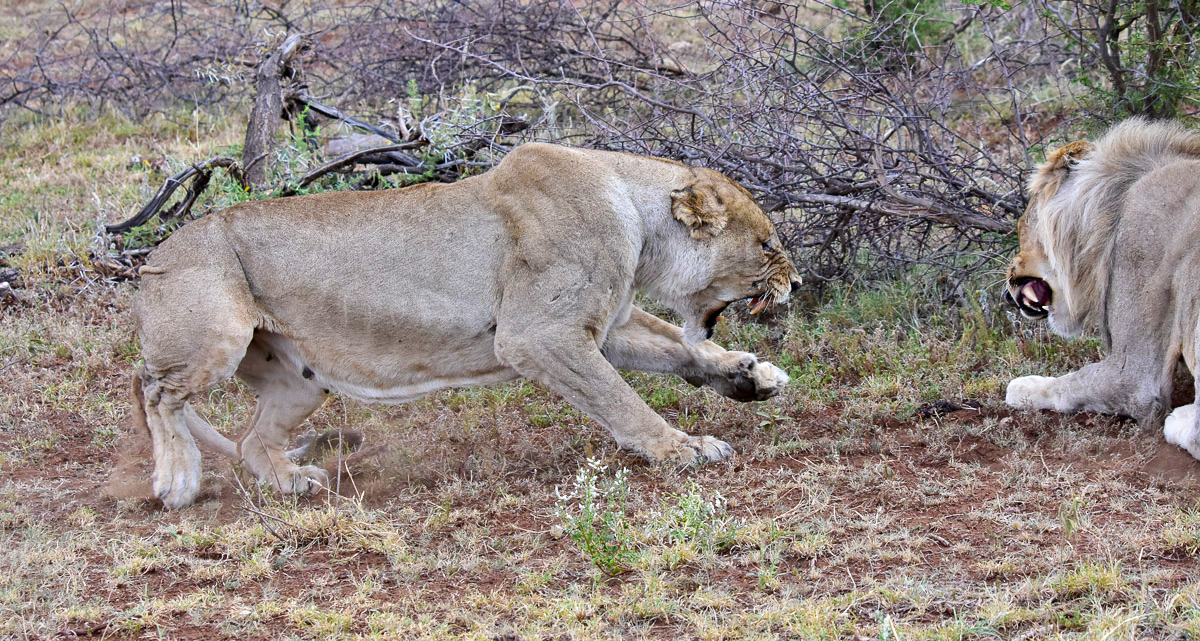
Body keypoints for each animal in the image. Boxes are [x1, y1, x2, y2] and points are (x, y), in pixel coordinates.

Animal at [129, 142, 803, 509]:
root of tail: (155, 255)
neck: (636, 217)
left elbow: (679, 351)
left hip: (299, 381)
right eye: (768, 244)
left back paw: (294, 481)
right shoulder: (539, 334)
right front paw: (682, 448)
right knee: (153, 389)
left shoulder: (602, 326)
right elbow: (622, 399)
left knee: (248, 439)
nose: (796, 284)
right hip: (215, 336)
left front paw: (751, 377)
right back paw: (177, 479)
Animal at [1004, 118, 1200, 462]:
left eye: (1020, 228)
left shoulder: (1134, 377)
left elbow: (1072, 383)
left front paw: (1022, 387)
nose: (1008, 280)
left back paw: (1179, 418)